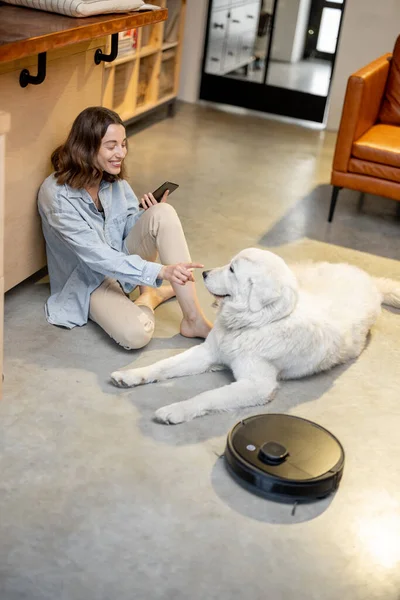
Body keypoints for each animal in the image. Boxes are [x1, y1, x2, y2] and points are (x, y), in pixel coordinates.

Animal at [110, 247, 400, 422]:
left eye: (232, 270)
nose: (204, 273)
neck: (253, 323)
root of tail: (371, 281)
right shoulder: (207, 353)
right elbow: (162, 365)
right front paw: (131, 375)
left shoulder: (257, 385)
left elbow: (209, 396)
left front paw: (176, 410)